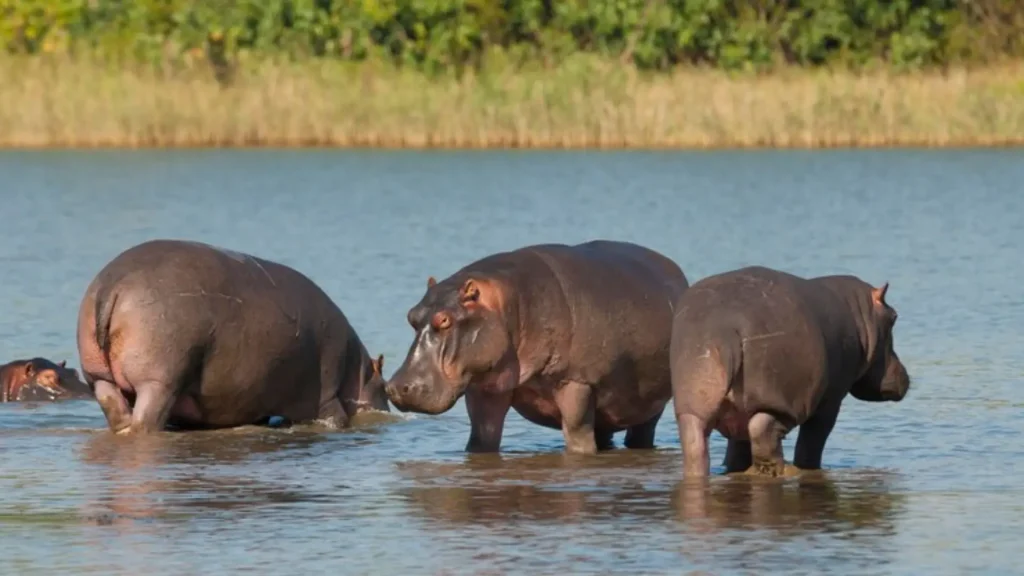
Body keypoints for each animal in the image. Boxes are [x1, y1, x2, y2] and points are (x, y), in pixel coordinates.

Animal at [76, 239, 390, 434]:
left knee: (115, 409)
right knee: (146, 419)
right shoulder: (326, 395)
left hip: (98, 376)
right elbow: (336, 417)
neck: (359, 371)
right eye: (384, 387)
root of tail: (112, 285)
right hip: (159, 381)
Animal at [385, 240, 689, 454]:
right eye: (411, 315)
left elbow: (578, 438)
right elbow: (481, 436)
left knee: (640, 433)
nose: (396, 387)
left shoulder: (576, 382)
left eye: (444, 320)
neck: (509, 305)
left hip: (650, 405)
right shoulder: (485, 388)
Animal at [670, 266, 911, 478]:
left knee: (696, 445)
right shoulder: (831, 399)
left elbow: (737, 447)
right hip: (784, 400)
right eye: (894, 317)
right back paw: (784, 470)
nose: (905, 376)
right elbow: (813, 439)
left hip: (693, 405)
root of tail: (728, 327)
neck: (862, 314)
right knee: (763, 430)